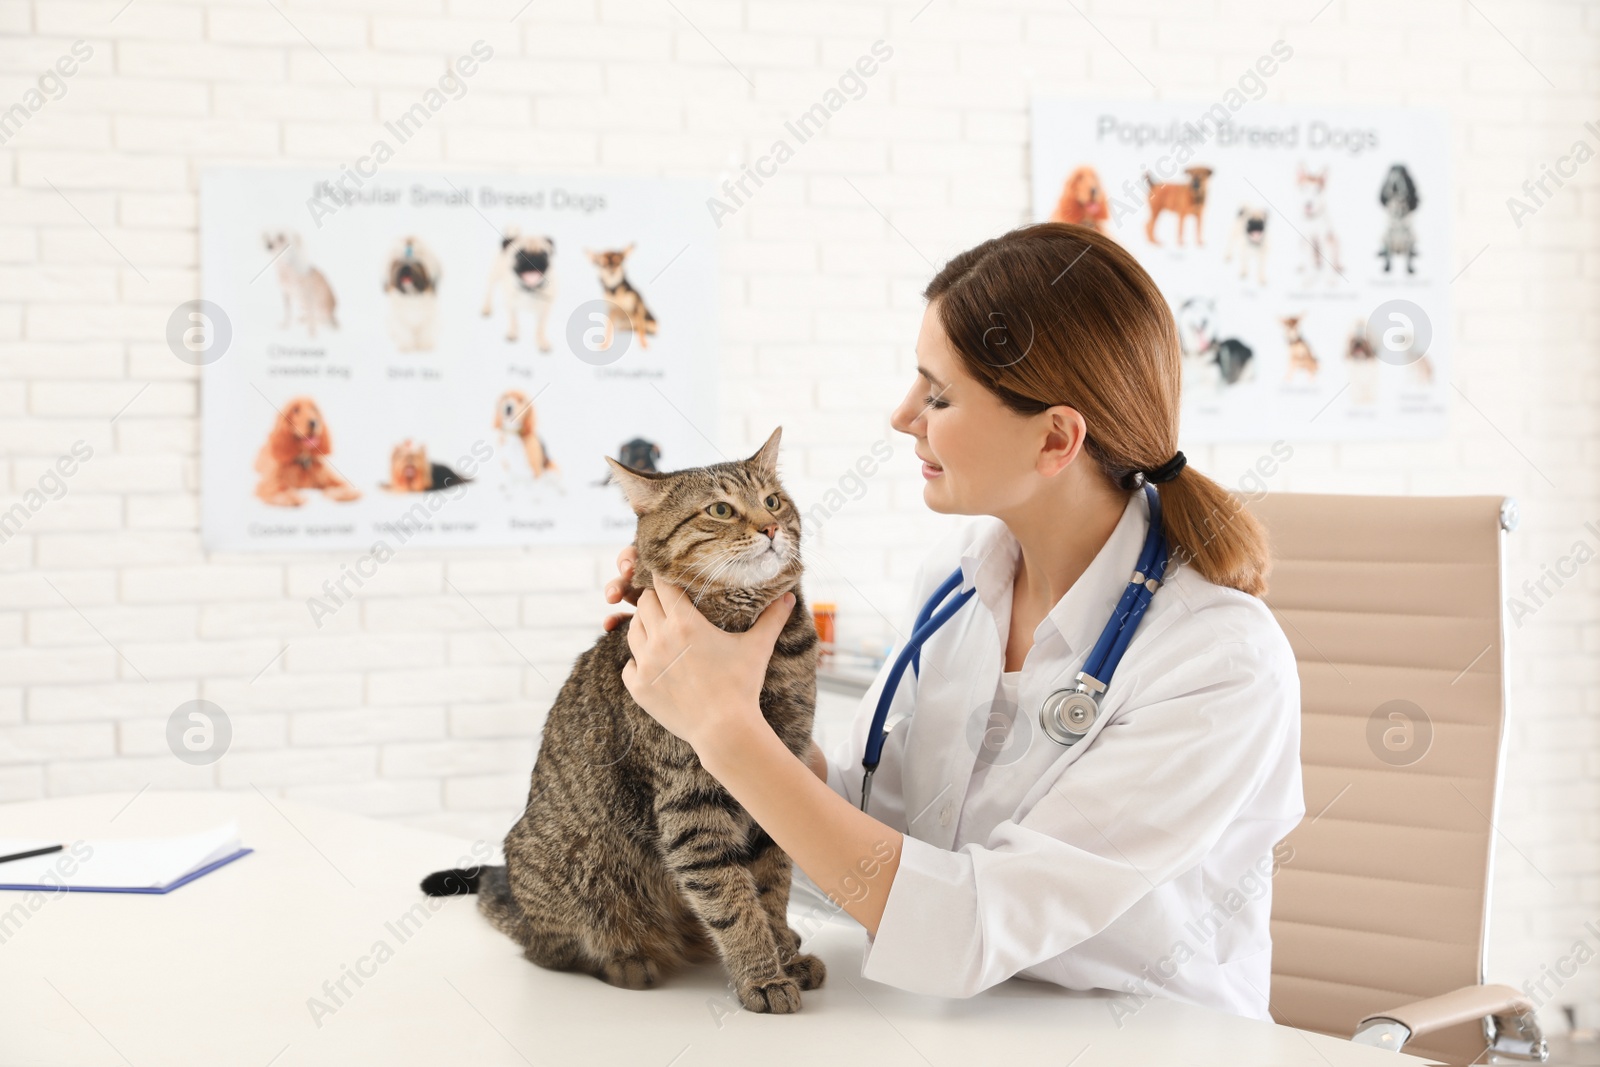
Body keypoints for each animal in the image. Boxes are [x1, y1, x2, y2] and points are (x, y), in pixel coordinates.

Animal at [419, 428, 832, 1017]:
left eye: (773, 501)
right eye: (721, 509)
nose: (771, 527)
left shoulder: (784, 769)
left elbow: (771, 886)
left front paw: (783, 952)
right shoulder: (692, 800)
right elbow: (732, 897)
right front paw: (762, 975)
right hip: (582, 877)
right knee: (551, 951)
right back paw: (627, 961)